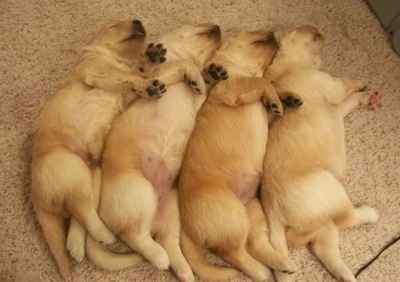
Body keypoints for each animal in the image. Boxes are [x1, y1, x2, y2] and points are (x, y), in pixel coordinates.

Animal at [30, 19, 170, 280]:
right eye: (114, 25)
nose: (138, 21)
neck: (115, 57)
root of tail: (37, 196)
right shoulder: (95, 70)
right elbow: (128, 77)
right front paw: (145, 81)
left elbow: (136, 72)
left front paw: (151, 57)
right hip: (71, 168)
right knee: (83, 210)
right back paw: (104, 234)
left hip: (91, 173)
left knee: (78, 214)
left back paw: (76, 246)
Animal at [85, 23, 223, 280]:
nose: (218, 26)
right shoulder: (147, 79)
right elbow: (171, 67)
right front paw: (154, 56)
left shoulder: (196, 100)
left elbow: (199, 84)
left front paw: (211, 75)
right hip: (141, 193)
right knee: (136, 236)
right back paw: (160, 257)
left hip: (171, 208)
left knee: (167, 241)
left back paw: (184, 271)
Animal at [177, 28, 296, 280]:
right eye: (250, 32)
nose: (273, 32)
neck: (241, 68)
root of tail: (188, 231)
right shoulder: (229, 90)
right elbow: (263, 81)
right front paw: (275, 99)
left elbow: (268, 87)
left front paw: (287, 98)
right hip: (233, 218)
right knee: (234, 253)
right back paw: (262, 270)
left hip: (253, 212)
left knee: (255, 245)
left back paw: (281, 263)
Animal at [260, 24, 380, 282]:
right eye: (296, 28)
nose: (312, 26)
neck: (289, 68)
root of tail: (272, 210)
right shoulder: (330, 84)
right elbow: (345, 82)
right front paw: (360, 82)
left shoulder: (338, 109)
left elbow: (350, 101)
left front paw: (366, 97)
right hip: (330, 189)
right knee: (346, 219)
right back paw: (370, 213)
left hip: (324, 227)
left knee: (325, 250)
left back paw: (348, 276)